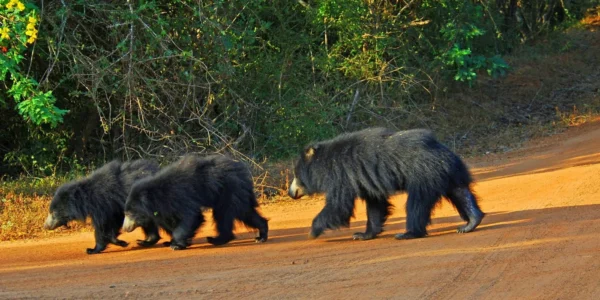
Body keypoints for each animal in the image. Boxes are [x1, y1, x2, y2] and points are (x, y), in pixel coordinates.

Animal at [122, 154, 270, 250]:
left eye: (129, 214)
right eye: (126, 213)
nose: (125, 228)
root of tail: (242, 170)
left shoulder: (181, 196)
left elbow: (192, 217)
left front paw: (176, 245)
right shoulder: (166, 207)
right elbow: (172, 220)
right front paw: (172, 242)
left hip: (229, 190)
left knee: (225, 214)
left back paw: (218, 239)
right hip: (235, 192)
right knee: (245, 212)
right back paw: (260, 235)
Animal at [288, 127, 486, 240]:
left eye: (297, 176)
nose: (291, 193)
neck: (323, 162)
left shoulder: (340, 176)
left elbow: (339, 206)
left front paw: (312, 231)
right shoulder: (365, 180)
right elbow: (376, 205)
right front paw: (363, 235)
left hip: (423, 175)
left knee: (416, 204)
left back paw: (407, 233)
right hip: (448, 172)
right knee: (460, 192)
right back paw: (470, 223)